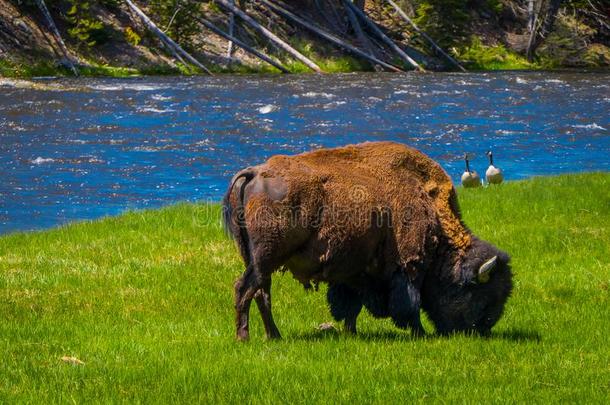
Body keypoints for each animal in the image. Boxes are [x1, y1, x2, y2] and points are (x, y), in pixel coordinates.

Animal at [221, 140, 510, 340]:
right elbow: (409, 304)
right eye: (481, 294)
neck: (429, 205)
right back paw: (244, 337)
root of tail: (255, 173)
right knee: (244, 288)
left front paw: (351, 332)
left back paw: (274, 335)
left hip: (258, 260)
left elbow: (351, 305)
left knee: (261, 293)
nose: (481, 331)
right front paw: (419, 333)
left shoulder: (355, 271)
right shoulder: (409, 265)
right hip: (266, 257)